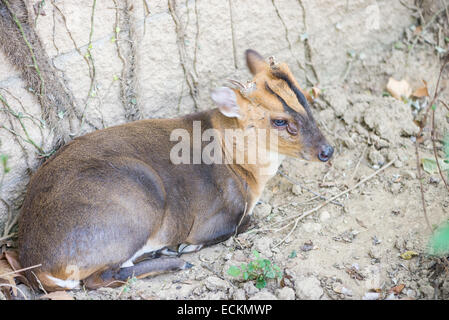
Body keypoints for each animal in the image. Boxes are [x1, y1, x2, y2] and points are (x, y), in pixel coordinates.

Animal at [18, 48, 332, 292]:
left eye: (304, 98)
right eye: (279, 121)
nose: (327, 150)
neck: (241, 165)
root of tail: (38, 267)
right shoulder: (214, 218)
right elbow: (244, 223)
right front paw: (186, 248)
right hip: (138, 206)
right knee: (100, 277)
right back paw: (175, 260)